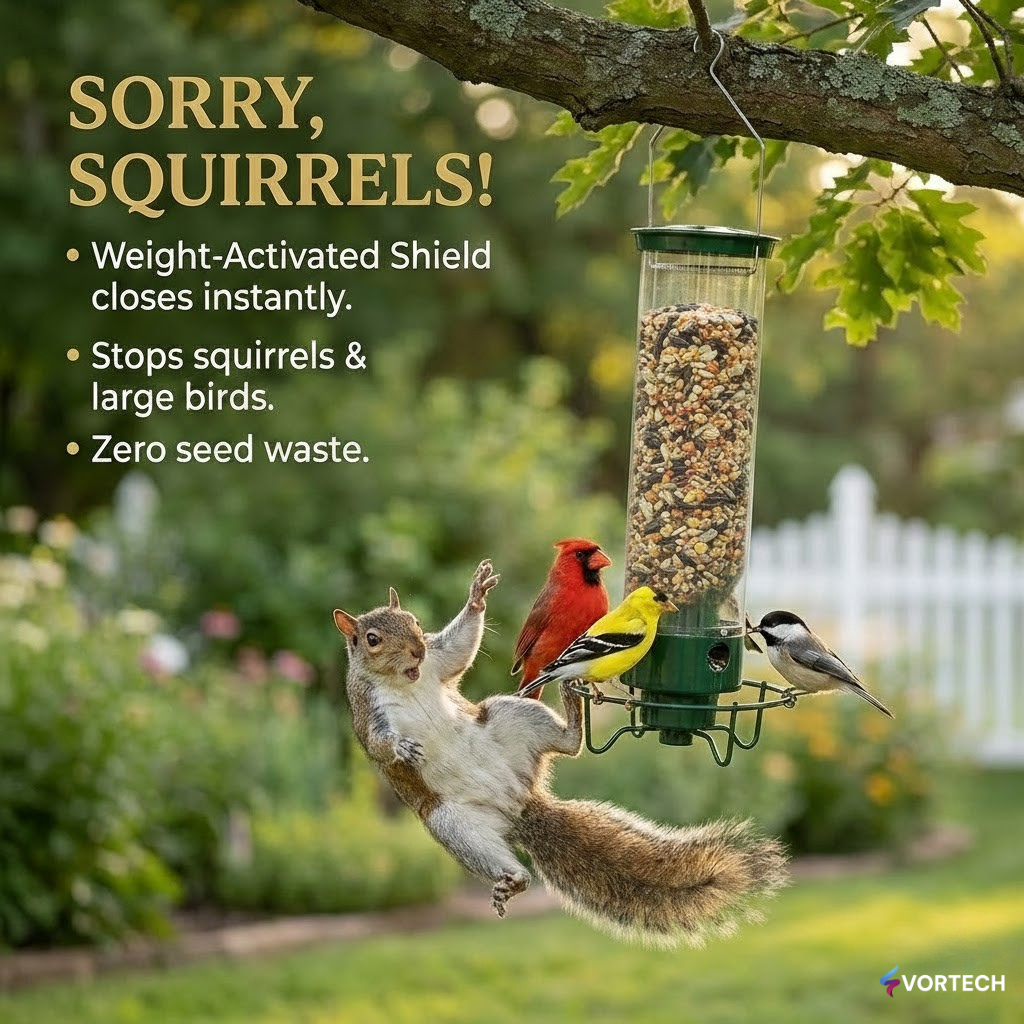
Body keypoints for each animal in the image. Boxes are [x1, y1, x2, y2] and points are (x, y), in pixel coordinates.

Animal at [333, 560, 788, 947]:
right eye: (372, 640)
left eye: (414, 622)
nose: (417, 650)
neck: (407, 679)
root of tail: (521, 804)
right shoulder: (367, 711)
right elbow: (378, 742)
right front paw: (400, 746)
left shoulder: (438, 663)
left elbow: (457, 650)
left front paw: (477, 594)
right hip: (454, 824)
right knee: (492, 852)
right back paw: (511, 879)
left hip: (513, 717)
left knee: (567, 742)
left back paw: (572, 711)